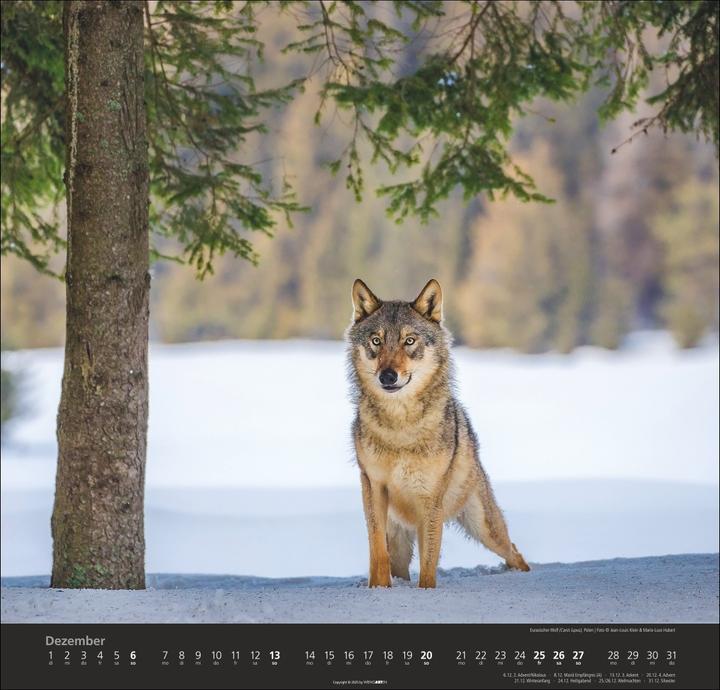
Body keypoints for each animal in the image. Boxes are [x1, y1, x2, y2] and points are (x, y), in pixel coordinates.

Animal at [347, 278, 530, 588]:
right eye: (376, 341)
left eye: (409, 341)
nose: (387, 376)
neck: (400, 427)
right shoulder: (373, 486)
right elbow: (377, 551)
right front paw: (378, 590)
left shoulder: (430, 499)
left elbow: (429, 563)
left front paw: (426, 593)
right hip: (400, 534)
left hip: (484, 528)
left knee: (515, 551)